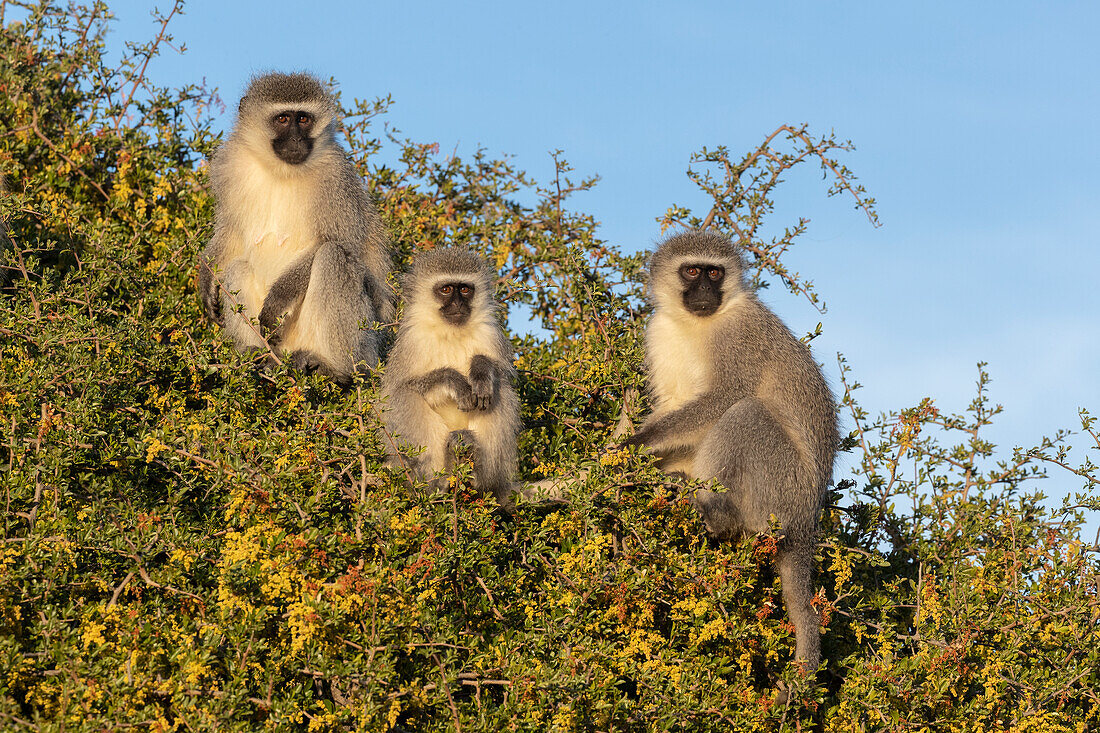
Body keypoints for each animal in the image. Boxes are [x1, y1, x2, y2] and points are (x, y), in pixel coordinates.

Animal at [199, 72, 396, 383]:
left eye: (303, 119)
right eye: (282, 119)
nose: (295, 138)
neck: (282, 171)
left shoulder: (335, 180)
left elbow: (340, 242)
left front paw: (278, 299)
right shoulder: (230, 165)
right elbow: (231, 231)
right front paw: (206, 277)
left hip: (365, 345)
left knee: (333, 257)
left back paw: (334, 368)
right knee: (238, 266)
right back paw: (260, 355)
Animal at [378, 248, 519, 506]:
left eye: (464, 289)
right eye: (445, 289)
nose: (457, 304)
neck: (451, 331)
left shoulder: (490, 332)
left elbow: (500, 372)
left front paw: (480, 370)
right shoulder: (412, 341)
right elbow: (398, 388)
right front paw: (453, 380)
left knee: (500, 390)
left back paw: (478, 477)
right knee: (405, 397)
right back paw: (436, 484)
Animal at [624, 228, 836, 669]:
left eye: (714, 272)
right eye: (692, 271)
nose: (705, 291)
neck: (693, 324)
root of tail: (807, 519)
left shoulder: (739, 335)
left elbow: (726, 397)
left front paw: (633, 443)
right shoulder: (658, 332)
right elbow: (671, 405)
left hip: (780, 489)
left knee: (745, 412)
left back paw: (715, 513)